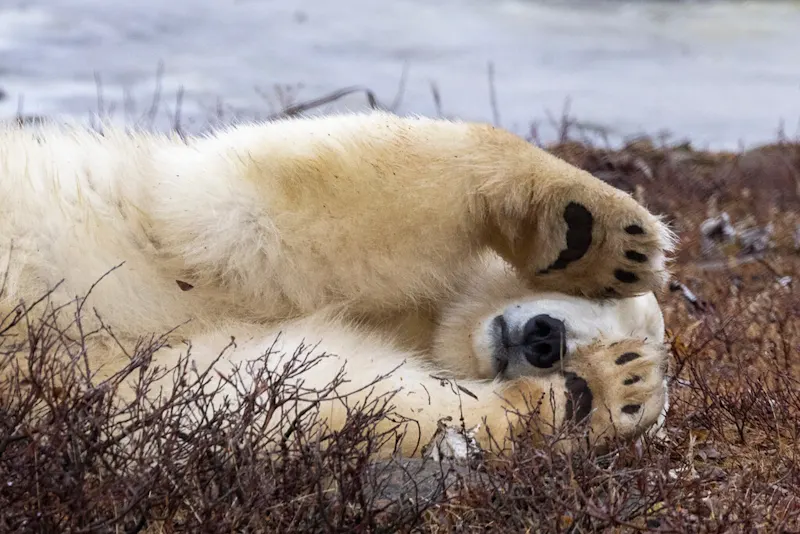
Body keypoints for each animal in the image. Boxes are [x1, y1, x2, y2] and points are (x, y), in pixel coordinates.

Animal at [0, 110, 674, 459]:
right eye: (598, 301)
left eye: (621, 335)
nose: (542, 337)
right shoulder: (187, 234)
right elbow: (263, 213)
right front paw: (591, 229)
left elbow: (243, 396)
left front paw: (602, 390)